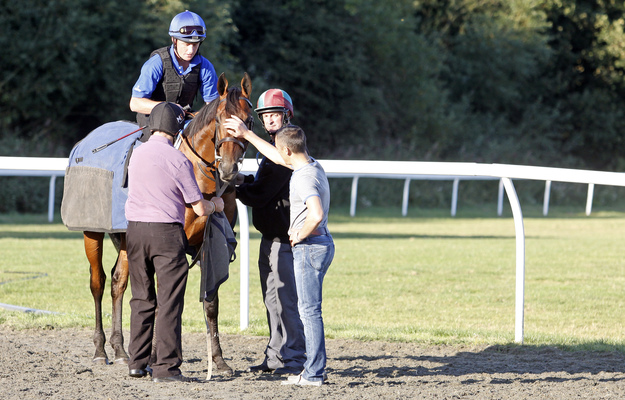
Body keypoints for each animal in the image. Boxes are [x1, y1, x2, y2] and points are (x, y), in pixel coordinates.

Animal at [83, 72, 251, 376]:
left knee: (118, 281)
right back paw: (100, 350)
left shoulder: (207, 245)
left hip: (126, 240)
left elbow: (210, 303)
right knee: (98, 282)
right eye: (221, 119)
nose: (229, 169)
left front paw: (219, 360)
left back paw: (120, 349)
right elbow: (163, 300)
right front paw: (154, 358)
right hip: (92, 232)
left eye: (249, 121)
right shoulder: (170, 246)